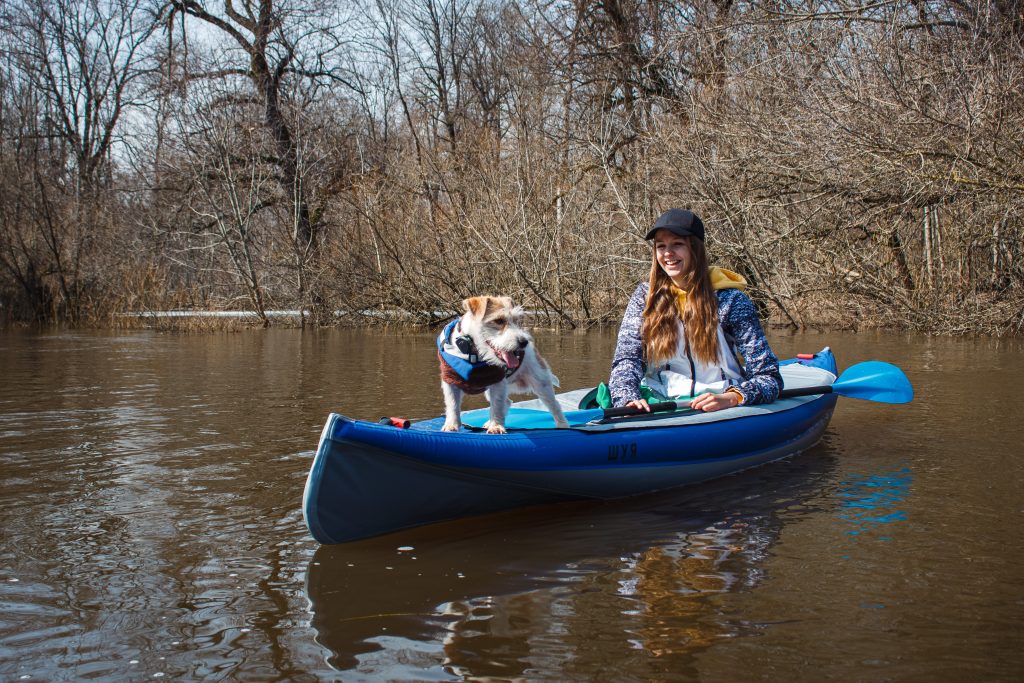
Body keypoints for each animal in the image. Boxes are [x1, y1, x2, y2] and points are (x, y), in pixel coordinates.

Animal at [438, 296, 573, 436]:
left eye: (516, 320)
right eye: (498, 320)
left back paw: (563, 426)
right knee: (507, 402)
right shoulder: (450, 380)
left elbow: (497, 405)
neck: (474, 354)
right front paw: (451, 425)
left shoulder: (497, 381)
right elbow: (452, 405)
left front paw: (496, 426)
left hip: (541, 384)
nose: (524, 342)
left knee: (555, 406)